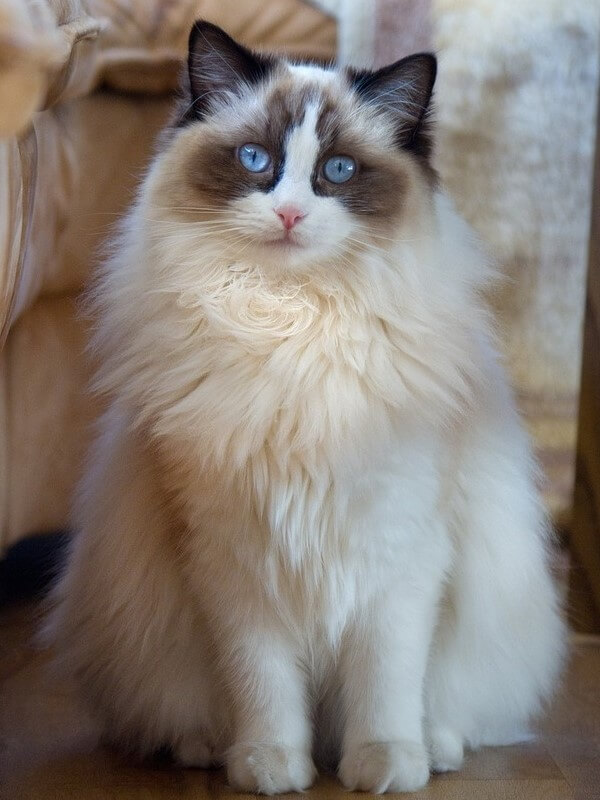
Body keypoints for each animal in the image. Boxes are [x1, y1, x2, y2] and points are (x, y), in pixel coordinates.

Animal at [45, 18, 568, 792]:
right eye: (255, 160)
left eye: (339, 172)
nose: (290, 213)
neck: (295, 329)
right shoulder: (233, 563)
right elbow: (263, 686)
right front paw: (269, 767)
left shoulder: (398, 555)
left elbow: (385, 684)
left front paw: (384, 766)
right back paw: (208, 748)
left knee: (456, 712)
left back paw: (433, 750)